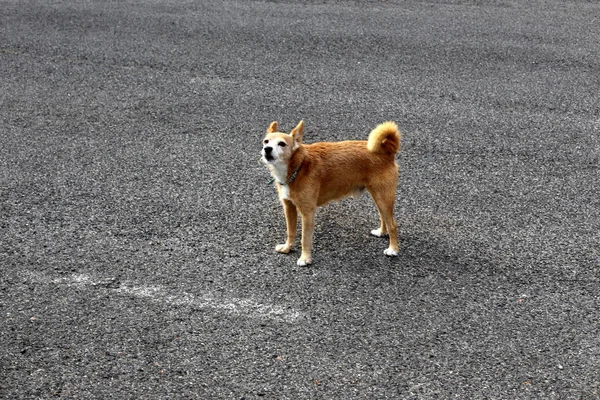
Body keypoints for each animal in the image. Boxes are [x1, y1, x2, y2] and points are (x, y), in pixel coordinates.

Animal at [260, 120, 400, 268]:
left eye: (282, 144)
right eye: (266, 141)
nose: (267, 149)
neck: (298, 166)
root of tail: (386, 150)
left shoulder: (307, 212)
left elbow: (305, 238)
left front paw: (305, 258)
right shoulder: (289, 207)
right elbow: (290, 232)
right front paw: (287, 248)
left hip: (383, 197)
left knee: (392, 225)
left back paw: (393, 249)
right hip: (379, 197)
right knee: (383, 217)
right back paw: (381, 232)